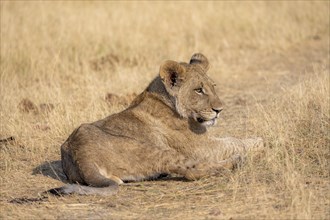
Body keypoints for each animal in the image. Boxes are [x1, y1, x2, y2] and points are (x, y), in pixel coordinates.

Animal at [50, 53, 264, 196]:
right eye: (198, 90)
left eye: (214, 87)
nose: (220, 110)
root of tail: (80, 155)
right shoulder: (202, 148)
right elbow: (235, 141)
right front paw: (261, 141)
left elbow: (232, 139)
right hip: (156, 150)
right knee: (193, 171)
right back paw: (237, 161)